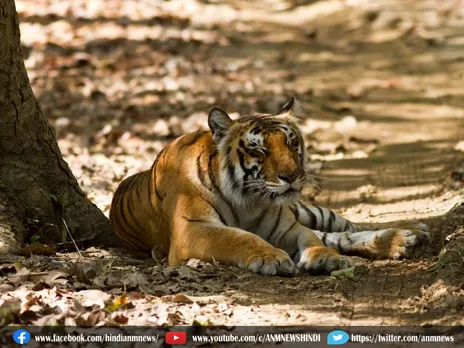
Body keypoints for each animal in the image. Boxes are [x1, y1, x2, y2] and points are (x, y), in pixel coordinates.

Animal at [110, 96, 430, 276]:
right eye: (259, 150)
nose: (292, 175)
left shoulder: (288, 227)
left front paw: (326, 258)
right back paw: (404, 238)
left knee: (343, 227)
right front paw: (270, 258)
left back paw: (409, 233)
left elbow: (312, 239)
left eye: (291, 143)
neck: (247, 200)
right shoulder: (193, 230)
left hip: (307, 211)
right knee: (336, 234)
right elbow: (239, 238)